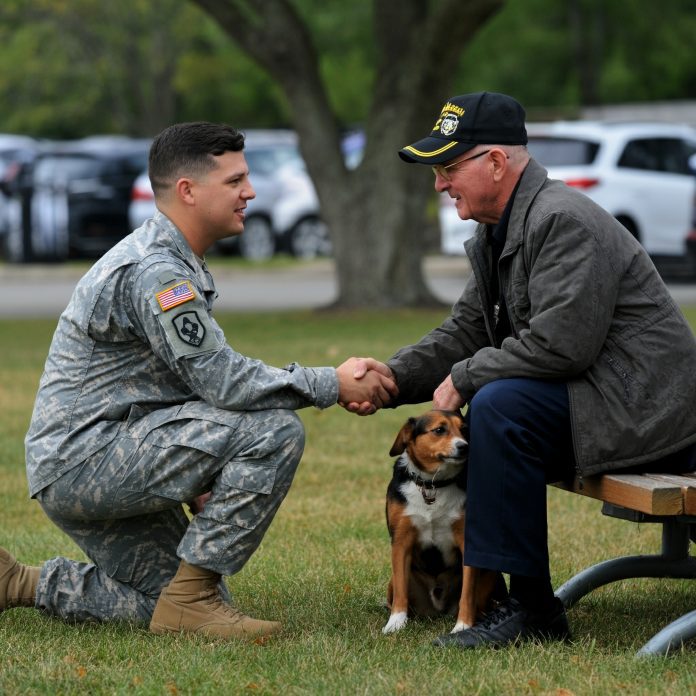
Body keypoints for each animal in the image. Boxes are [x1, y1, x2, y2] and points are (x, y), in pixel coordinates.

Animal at [384, 410, 502, 632]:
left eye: (464, 429)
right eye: (439, 430)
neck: (433, 485)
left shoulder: (466, 543)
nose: (464, 446)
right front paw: (395, 623)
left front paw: (463, 626)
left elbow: (468, 594)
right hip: (392, 582)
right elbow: (401, 591)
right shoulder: (401, 541)